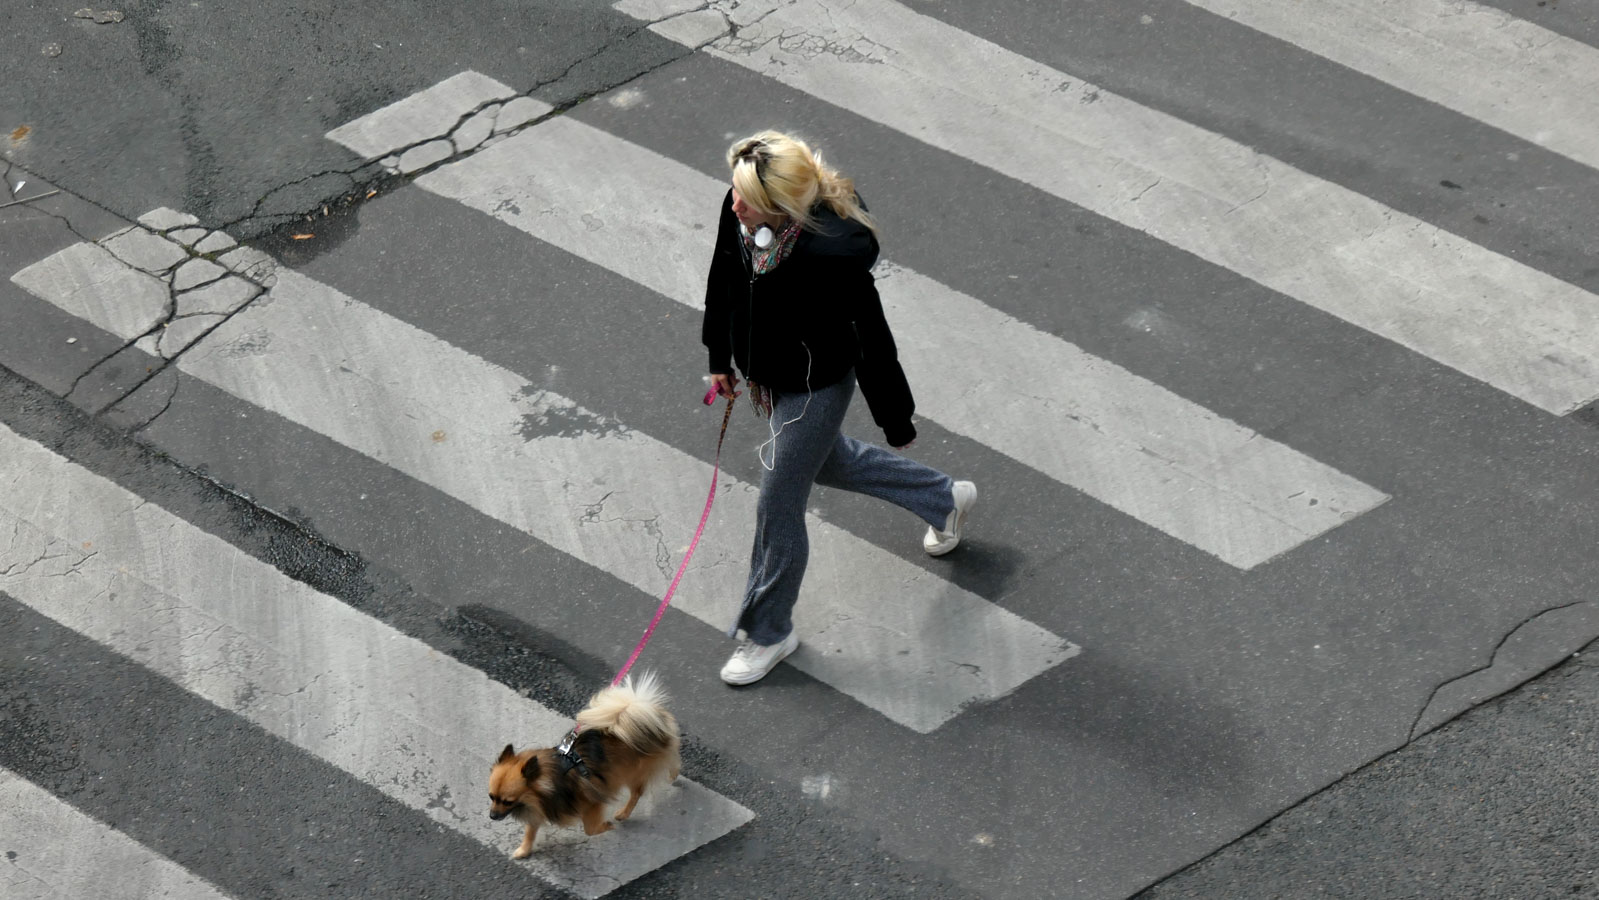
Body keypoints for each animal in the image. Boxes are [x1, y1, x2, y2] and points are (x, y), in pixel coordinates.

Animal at [488, 673, 681, 859]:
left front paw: (606, 826)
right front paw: (524, 850)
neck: (549, 784)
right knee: (672, 759)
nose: (491, 816)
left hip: (634, 773)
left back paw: (624, 812)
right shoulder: (538, 809)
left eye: (508, 801)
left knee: (638, 791)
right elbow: (530, 831)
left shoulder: (592, 803)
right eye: (491, 797)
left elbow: (590, 829)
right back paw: (673, 774)